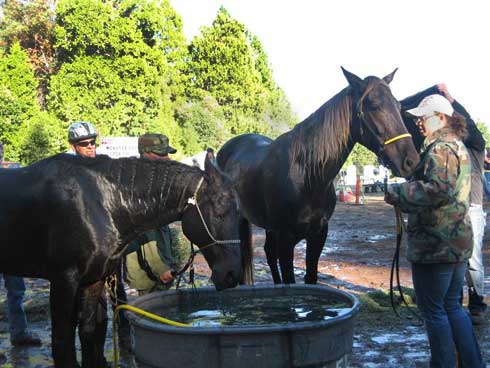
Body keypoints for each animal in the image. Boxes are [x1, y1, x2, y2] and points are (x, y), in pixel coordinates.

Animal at [0, 154, 253, 366]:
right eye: (219, 212)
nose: (232, 275)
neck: (103, 203)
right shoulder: (64, 280)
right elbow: (62, 344)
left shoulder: (93, 280)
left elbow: (88, 333)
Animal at [218, 67, 422, 284]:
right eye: (374, 106)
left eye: (398, 106)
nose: (411, 161)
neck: (306, 175)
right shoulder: (286, 238)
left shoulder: (318, 234)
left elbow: (311, 278)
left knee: (268, 253)